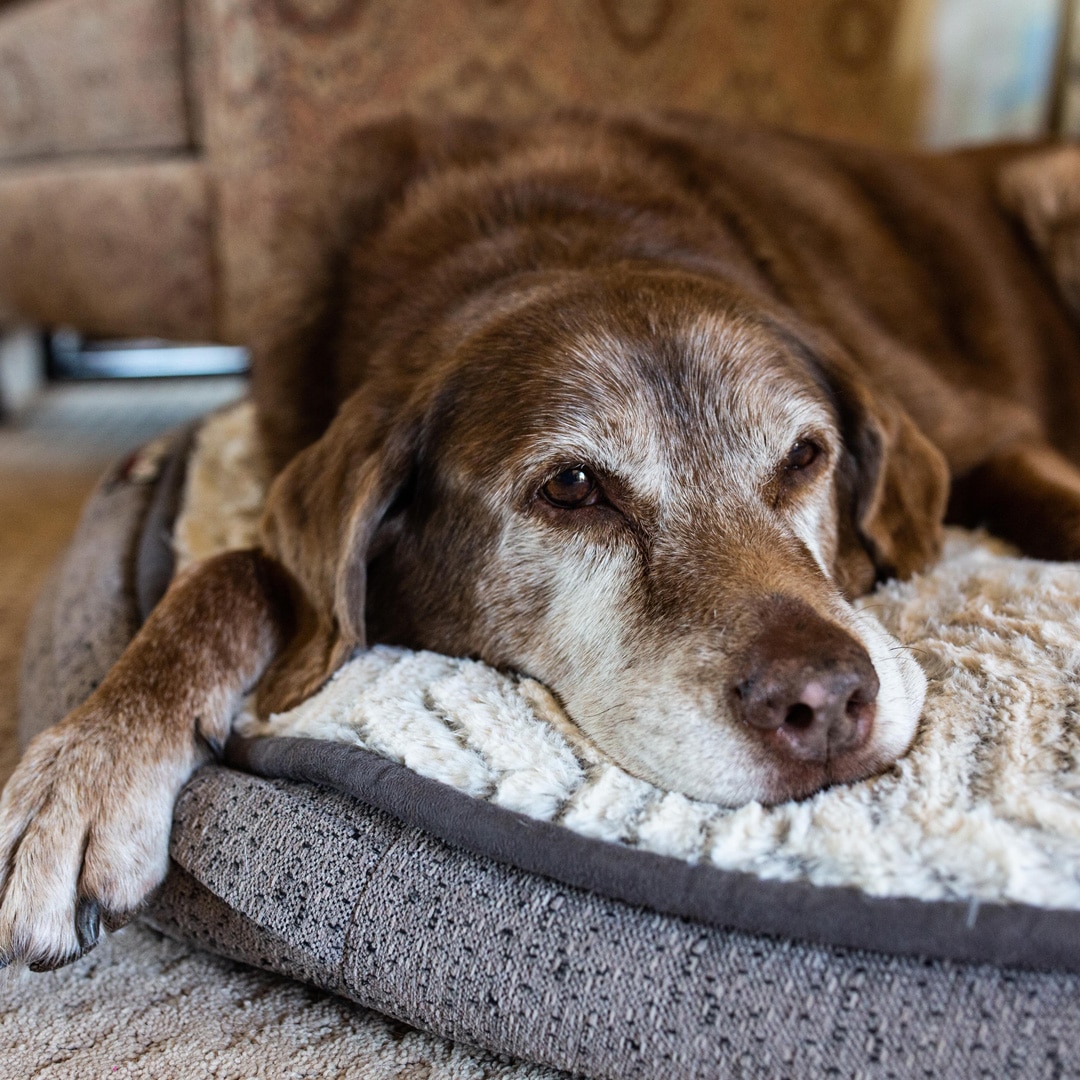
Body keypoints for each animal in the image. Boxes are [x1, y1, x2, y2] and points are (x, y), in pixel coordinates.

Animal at [2, 111, 1080, 972]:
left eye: (806, 455)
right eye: (572, 489)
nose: (824, 705)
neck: (554, 233)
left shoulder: (982, 435)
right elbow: (238, 572)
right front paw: (85, 770)